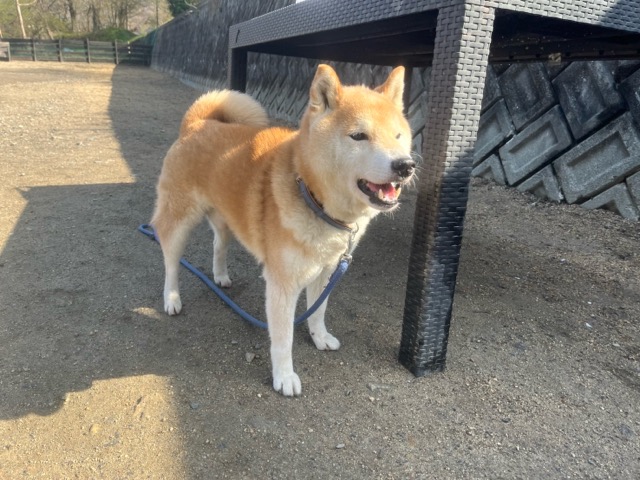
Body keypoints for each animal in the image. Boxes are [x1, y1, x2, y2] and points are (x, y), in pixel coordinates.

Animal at [151, 64, 415, 396]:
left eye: (398, 136)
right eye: (359, 136)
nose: (405, 166)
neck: (312, 196)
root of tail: (195, 124)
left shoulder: (327, 271)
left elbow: (317, 311)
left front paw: (319, 337)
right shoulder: (282, 284)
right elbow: (283, 338)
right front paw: (284, 376)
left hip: (226, 220)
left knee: (218, 245)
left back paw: (220, 276)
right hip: (180, 220)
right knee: (171, 261)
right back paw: (172, 299)